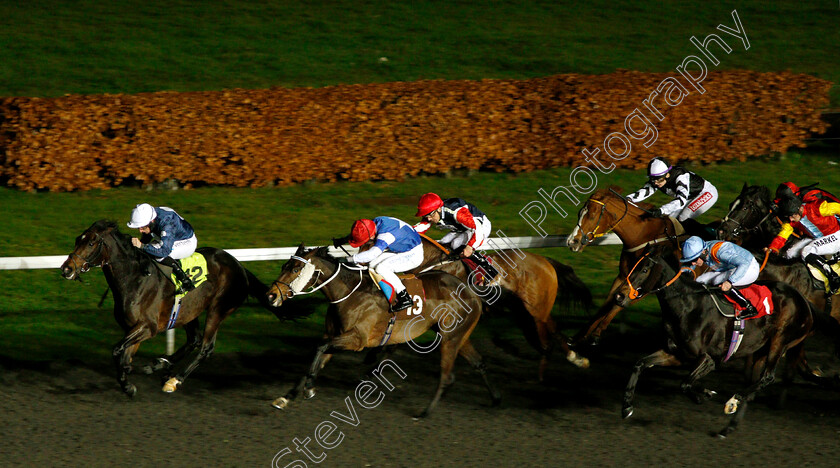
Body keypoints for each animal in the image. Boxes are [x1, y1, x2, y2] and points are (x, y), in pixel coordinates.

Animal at [58, 221, 288, 396]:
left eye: (91, 242)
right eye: (77, 239)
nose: (66, 269)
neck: (135, 278)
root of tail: (239, 265)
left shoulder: (148, 327)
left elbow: (117, 351)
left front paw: (127, 384)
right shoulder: (131, 328)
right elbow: (125, 356)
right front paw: (129, 379)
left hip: (218, 309)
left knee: (206, 348)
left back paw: (174, 380)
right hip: (189, 311)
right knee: (194, 340)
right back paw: (160, 364)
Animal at [262, 245, 498, 416]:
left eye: (295, 269)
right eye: (283, 265)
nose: (271, 295)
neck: (348, 292)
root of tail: (471, 292)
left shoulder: (357, 340)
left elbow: (319, 349)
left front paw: (309, 388)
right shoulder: (334, 336)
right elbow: (317, 356)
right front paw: (288, 396)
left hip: (450, 337)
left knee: (447, 375)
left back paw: (425, 412)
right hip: (456, 335)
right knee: (479, 363)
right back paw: (496, 400)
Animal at [414, 234, 592, 380]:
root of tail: (546, 260)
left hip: (535, 312)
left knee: (546, 343)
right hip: (533, 310)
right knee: (553, 330)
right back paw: (576, 359)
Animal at [560, 188, 692, 346]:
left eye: (591, 216)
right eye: (579, 213)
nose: (571, 242)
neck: (644, 236)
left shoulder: (649, 284)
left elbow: (619, 302)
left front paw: (596, 333)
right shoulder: (623, 276)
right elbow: (608, 303)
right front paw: (579, 335)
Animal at [616, 250, 812, 436]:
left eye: (644, 269)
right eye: (632, 266)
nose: (619, 296)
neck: (688, 306)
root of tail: (804, 301)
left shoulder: (710, 358)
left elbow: (684, 384)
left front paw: (701, 396)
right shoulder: (676, 354)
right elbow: (640, 364)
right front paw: (626, 407)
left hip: (779, 341)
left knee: (768, 377)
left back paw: (733, 401)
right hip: (760, 350)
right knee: (754, 385)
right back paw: (727, 428)